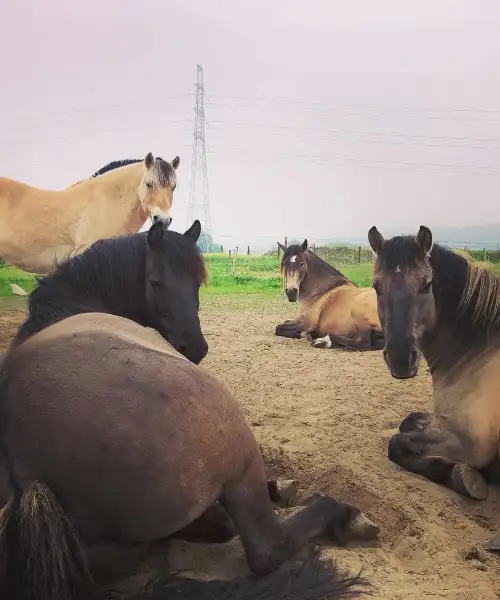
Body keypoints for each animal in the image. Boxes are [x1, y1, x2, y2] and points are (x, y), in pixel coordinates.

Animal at [368, 227, 500, 552]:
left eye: (427, 283)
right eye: (376, 286)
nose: (401, 358)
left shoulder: (470, 444)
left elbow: (396, 444)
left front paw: (463, 477)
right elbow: (410, 422)